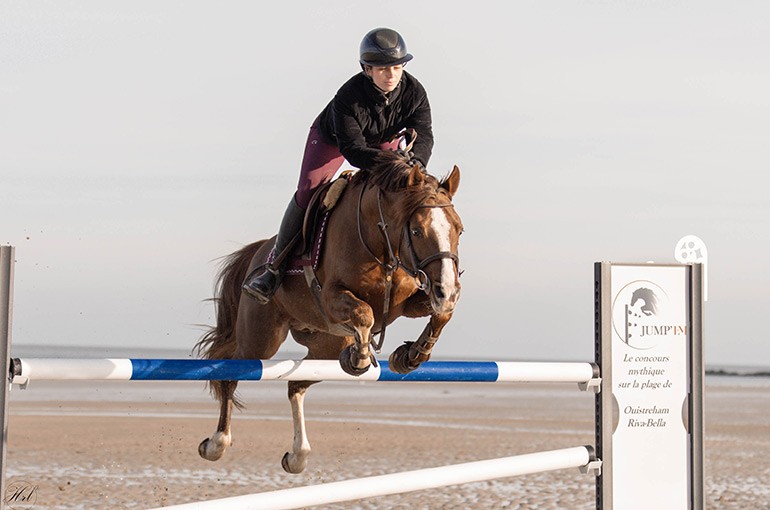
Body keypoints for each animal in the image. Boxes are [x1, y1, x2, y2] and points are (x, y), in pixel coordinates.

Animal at [195, 152, 460, 474]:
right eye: (417, 231)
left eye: (459, 229)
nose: (447, 289)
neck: (380, 243)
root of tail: (259, 252)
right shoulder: (333, 296)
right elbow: (365, 313)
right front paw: (361, 358)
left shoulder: (408, 302)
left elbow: (442, 314)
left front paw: (411, 355)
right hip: (260, 340)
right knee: (230, 373)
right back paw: (216, 443)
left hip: (326, 348)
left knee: (296, 385)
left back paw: (297, 455)